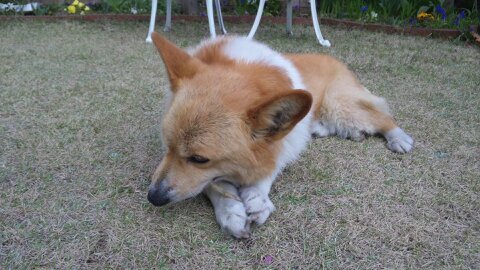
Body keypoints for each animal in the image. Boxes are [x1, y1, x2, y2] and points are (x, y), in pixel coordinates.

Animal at [147, 32, 412, 238]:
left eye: (199, 159)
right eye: (167, 146)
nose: (153, 197)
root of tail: (333, 59)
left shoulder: (284, 145)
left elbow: (268, 169)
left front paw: (256, 198)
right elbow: (211, 185)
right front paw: (230, 210)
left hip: (340, 106)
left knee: (380, 117)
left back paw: (399, 138)